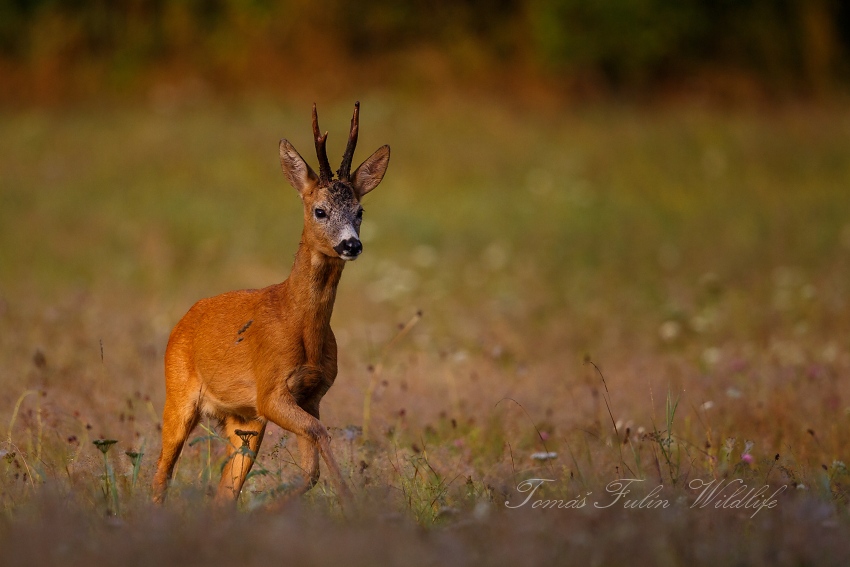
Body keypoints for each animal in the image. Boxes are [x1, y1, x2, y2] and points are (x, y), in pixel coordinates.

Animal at [152, 102, 390, 505]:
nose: (351, 244)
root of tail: (183, 320)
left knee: (225, 491)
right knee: (161, 474)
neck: (299, 324)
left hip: (243, 420)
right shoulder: (270, 391)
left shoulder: (311, 395)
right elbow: (320, 435)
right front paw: (348, 497)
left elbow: (310, 469)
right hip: (178, 391)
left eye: (360, 212)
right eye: (320, 210)